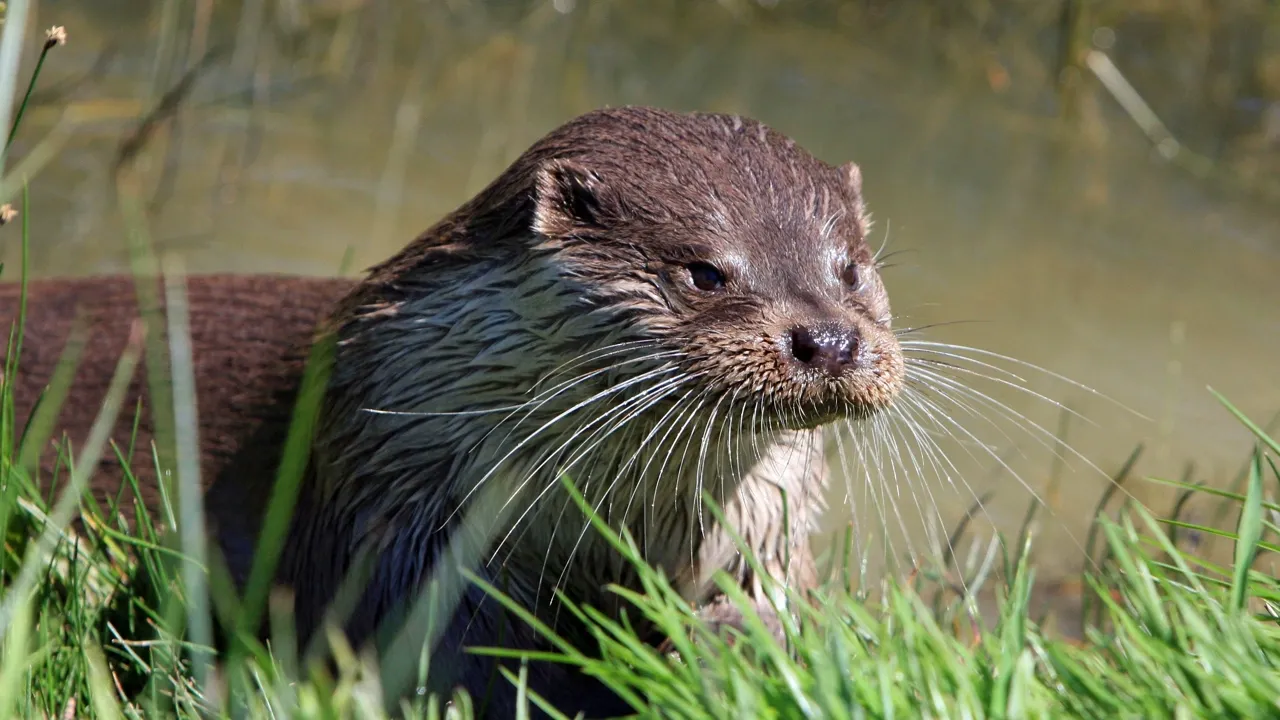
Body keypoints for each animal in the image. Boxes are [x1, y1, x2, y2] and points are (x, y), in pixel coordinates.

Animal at [5, 106, 906, 717]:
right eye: (706, 273)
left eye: (850, 269)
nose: (829, 339)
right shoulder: (397, 514)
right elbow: (447, 653)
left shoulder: (763, 527)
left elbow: (769, 615)